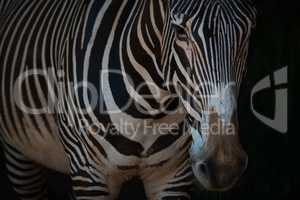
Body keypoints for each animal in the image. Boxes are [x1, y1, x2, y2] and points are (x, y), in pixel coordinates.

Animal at [0, 0, 255, 199]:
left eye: (249, 31)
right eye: (180, 31)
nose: (223, 167)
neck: (149, 109)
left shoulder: (173, 176)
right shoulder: (89, 174)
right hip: (18, 151)